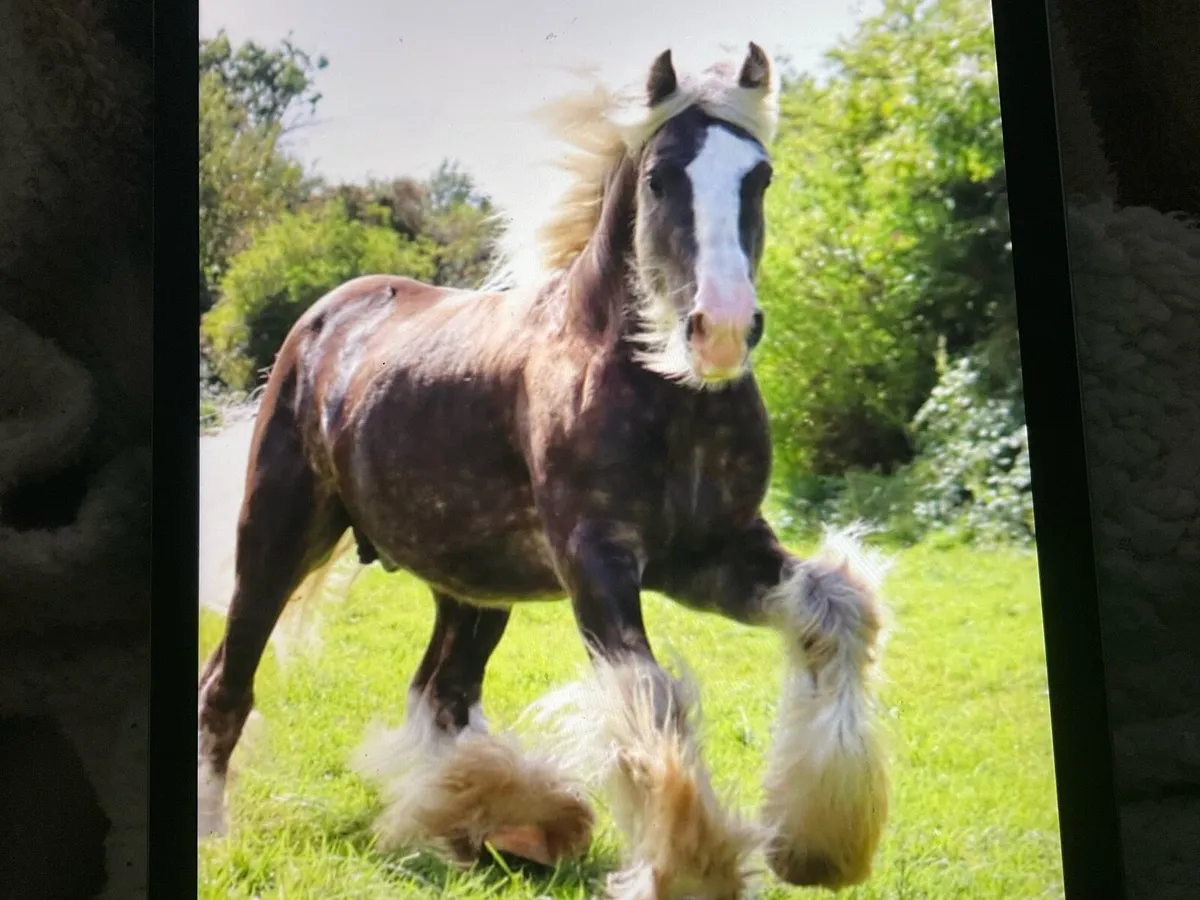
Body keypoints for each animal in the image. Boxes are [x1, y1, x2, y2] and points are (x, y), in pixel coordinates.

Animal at [197, 43, 891, 899]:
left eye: (758, 175)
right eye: (661, 178)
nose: (722, 330)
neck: (660, 389)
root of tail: (323, 319)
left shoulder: (714, 554)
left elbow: (839, 606)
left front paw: (818, 841)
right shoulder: (598, 555)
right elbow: (649, 695)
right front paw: (691, 864)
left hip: (470, 587)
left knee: (443, 697)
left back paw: (495, 821)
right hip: (277, 538)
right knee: (229, 683)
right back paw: (218, 832)